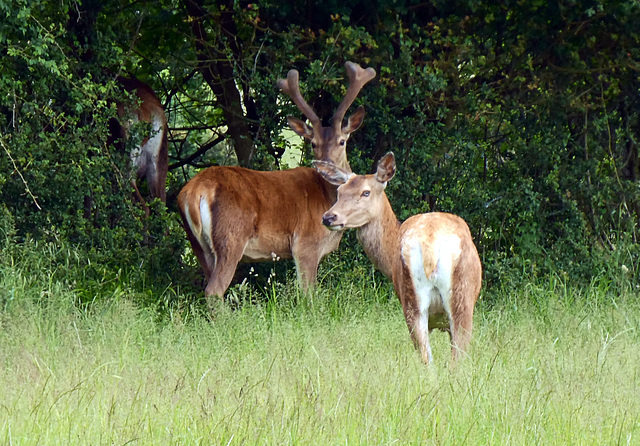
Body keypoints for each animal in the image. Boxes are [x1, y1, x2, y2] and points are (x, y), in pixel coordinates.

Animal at [176, 62, 376, 312]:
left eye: (342, 141)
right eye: (313, 143)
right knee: (214, 291)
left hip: (197, 244)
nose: (325, 167)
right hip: (231, 236)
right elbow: (309, 295)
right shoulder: (305, 244)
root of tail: (195, 191)